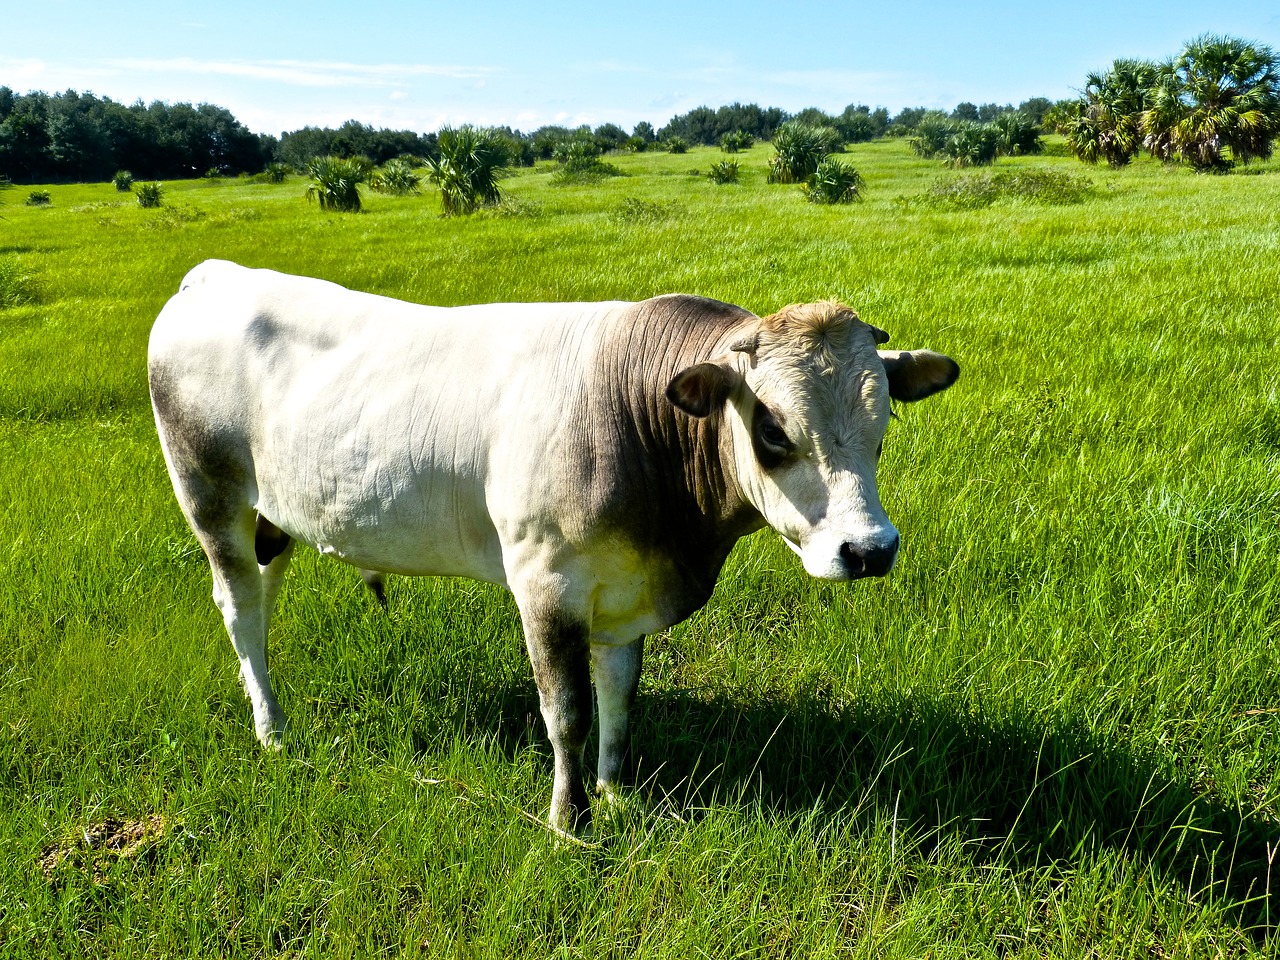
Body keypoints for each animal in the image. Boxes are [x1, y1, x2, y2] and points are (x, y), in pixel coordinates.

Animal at [145, 259, 957, 839]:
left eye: (883, 425)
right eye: (775, 431)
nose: (870, 548)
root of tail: (213, 275)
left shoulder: (624, 593)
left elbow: (618, 698)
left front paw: (617, 794)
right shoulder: (545, 584)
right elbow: (565, 711)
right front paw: (570, 823)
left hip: (274, 517)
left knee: (262, 596)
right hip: (209, 495)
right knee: (239, 609)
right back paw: (273, 730)